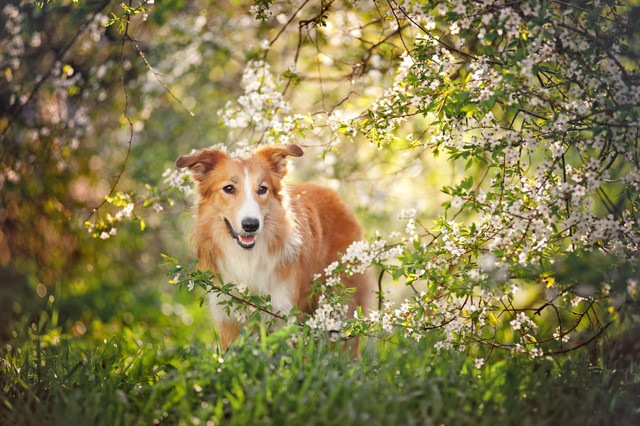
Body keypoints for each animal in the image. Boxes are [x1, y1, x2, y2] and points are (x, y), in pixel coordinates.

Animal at [175, 143, 376, 350]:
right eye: (229, 188)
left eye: (262, 189)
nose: (251, 225)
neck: (247, 258)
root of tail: (334, 194)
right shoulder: (228, 319)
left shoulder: (284, 314)